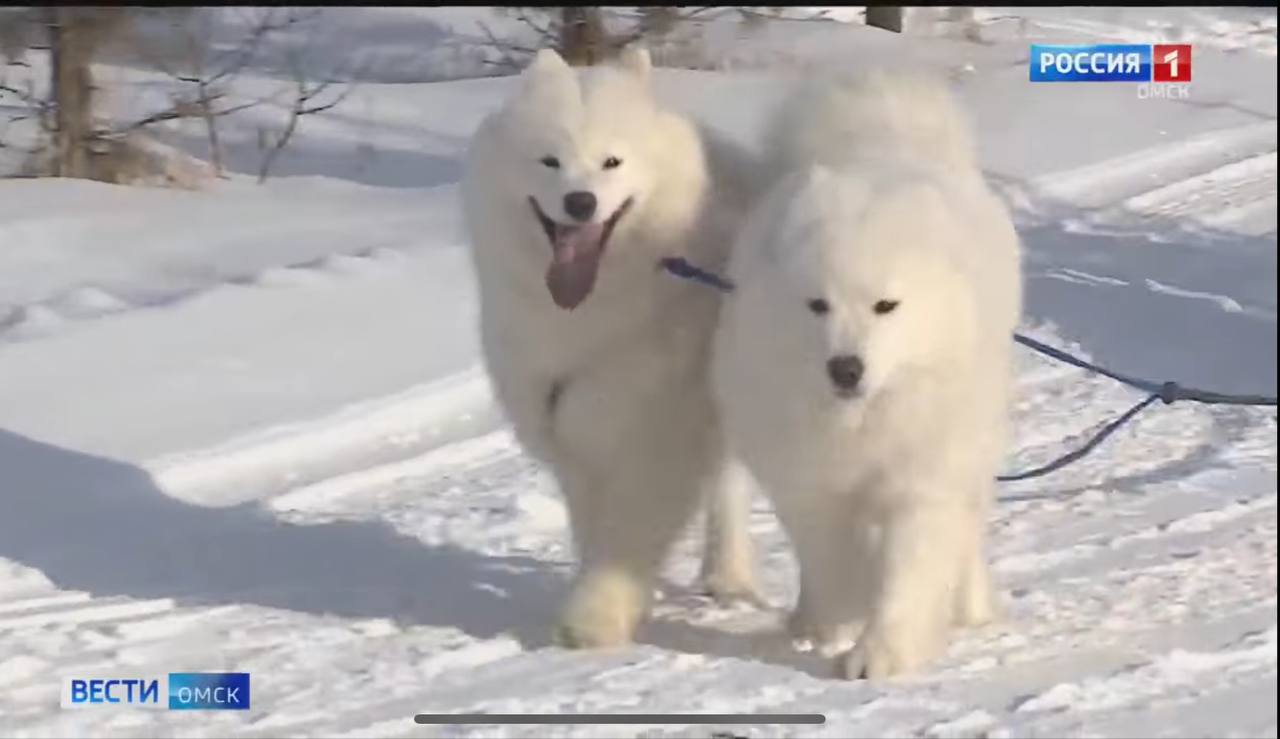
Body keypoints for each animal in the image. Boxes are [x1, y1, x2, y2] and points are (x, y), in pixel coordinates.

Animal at [460, 47, 757, 645]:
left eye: (612, 162)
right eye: (550, 161)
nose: (580, 202)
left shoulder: (657, 433)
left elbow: (626, 536)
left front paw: (594, 620)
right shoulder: (569, 433)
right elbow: (595, 531)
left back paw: (729, 578)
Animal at [711, 72, 1018, 676]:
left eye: (885, 306)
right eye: (817, 305)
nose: (846, 367)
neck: (862, 422)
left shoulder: (921, 478)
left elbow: (907, 571)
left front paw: (879, 655)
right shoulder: (809, 480)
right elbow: (828, 559)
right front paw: (833, 626)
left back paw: (970, 609)